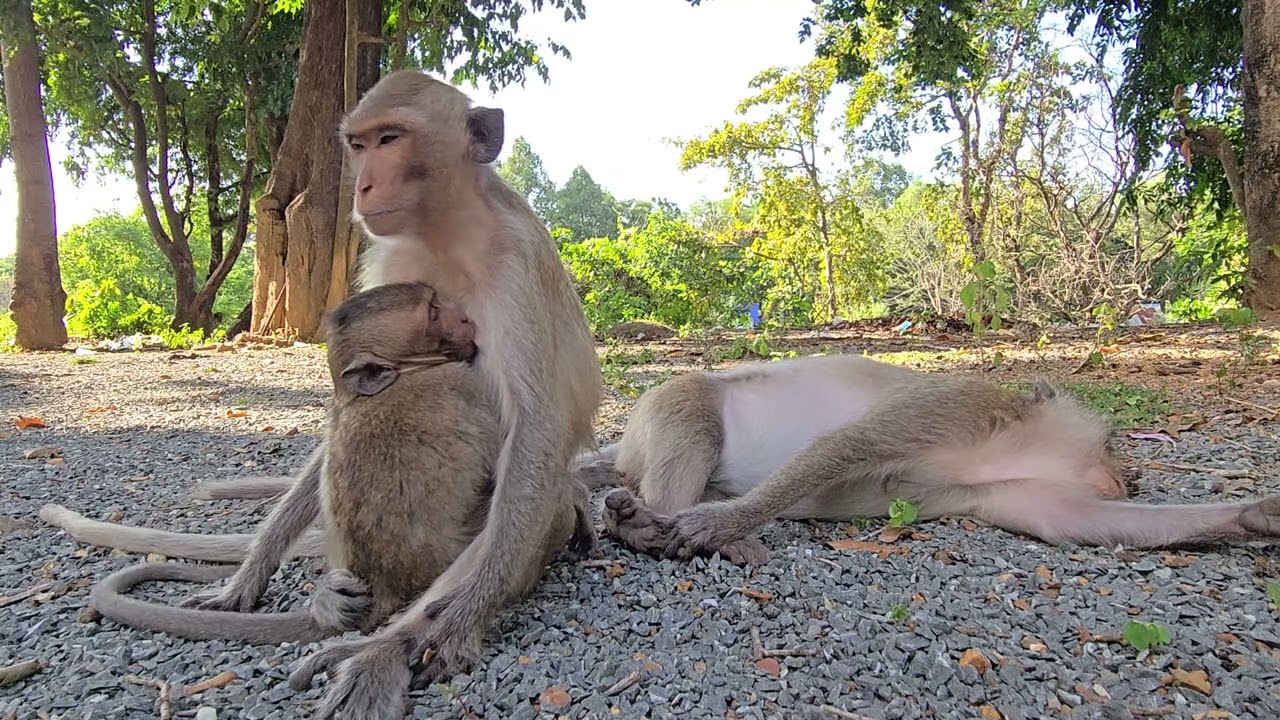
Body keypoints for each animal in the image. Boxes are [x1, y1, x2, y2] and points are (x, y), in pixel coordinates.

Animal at [573, 353, 1280, 566]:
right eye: (1110, 441)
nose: (1128, 476)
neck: (1002, 444)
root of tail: (625, 436)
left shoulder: (1009, 484)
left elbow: (1084, 523)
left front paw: (1256, 515)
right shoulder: (955, 402)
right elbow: (847, 446)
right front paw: (719, 528)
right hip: (671, 400)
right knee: (692, 418)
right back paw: (647, 522)